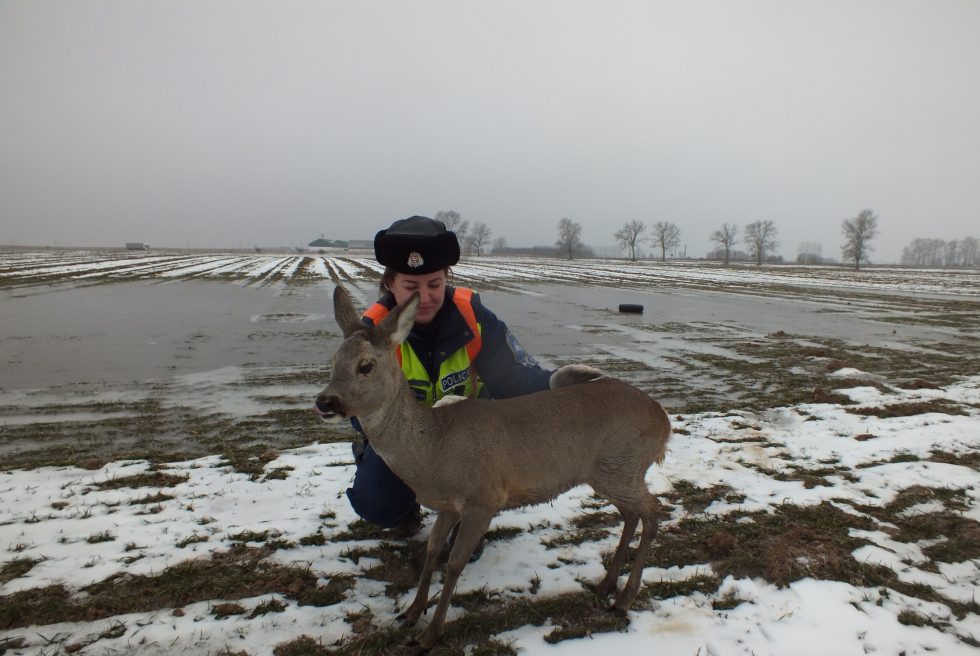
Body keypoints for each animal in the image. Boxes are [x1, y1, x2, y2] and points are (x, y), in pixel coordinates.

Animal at [316, 288, 672, 652]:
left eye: (365, 366)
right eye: (333, 362)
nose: (325, 402)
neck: (434, 449)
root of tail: (663, 418)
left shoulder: (484, 498)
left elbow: (455, 563)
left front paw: (430, 634)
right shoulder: (449, 506)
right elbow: (432, 550)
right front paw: (412, 612)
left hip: (622, 466)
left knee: (653, 510)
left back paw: (624, 598)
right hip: (609, 473)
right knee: (632, 514)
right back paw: (606, 585)